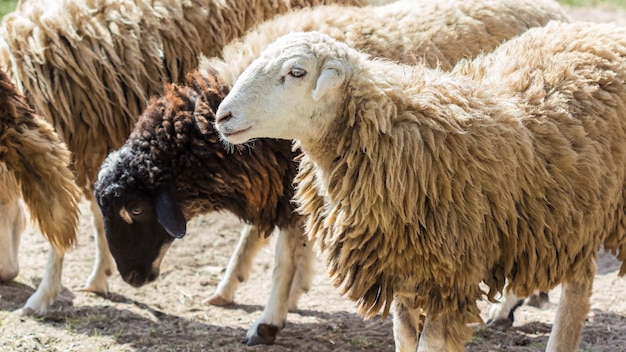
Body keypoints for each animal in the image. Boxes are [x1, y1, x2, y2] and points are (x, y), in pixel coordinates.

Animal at [95, 0, 568, 346]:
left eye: (135, 210)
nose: (132, 279)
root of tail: (556, 12)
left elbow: (282, 261)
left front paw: (267, 321)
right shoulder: (293, 187)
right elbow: (269, 245)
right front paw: (249, 290)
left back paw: (507, 307)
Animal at [213, 22, 624, 352]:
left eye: (296, 72)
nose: (223, 115)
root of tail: (598, 30)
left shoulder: (450, 274)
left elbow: (431, 343)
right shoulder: (402, 265)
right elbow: (404, 337)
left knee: (578, 286)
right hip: (569, 214)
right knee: (579, 277)